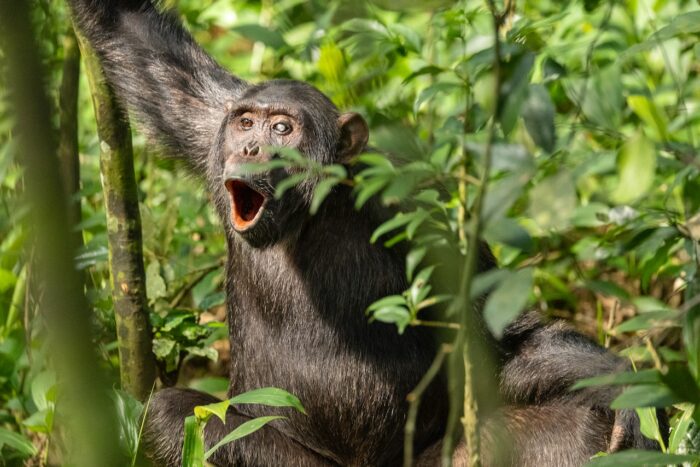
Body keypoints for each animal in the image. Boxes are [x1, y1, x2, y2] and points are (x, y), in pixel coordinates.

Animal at [68, 1, 666, 465]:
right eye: (246, 122)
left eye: (283, 127)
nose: (252, 146)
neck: (313, 215)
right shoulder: (205, 116)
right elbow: (143, 47)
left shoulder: (416, 212)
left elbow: (497, 338)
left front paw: (622, 385)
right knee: (170, 416)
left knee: (578, 426)